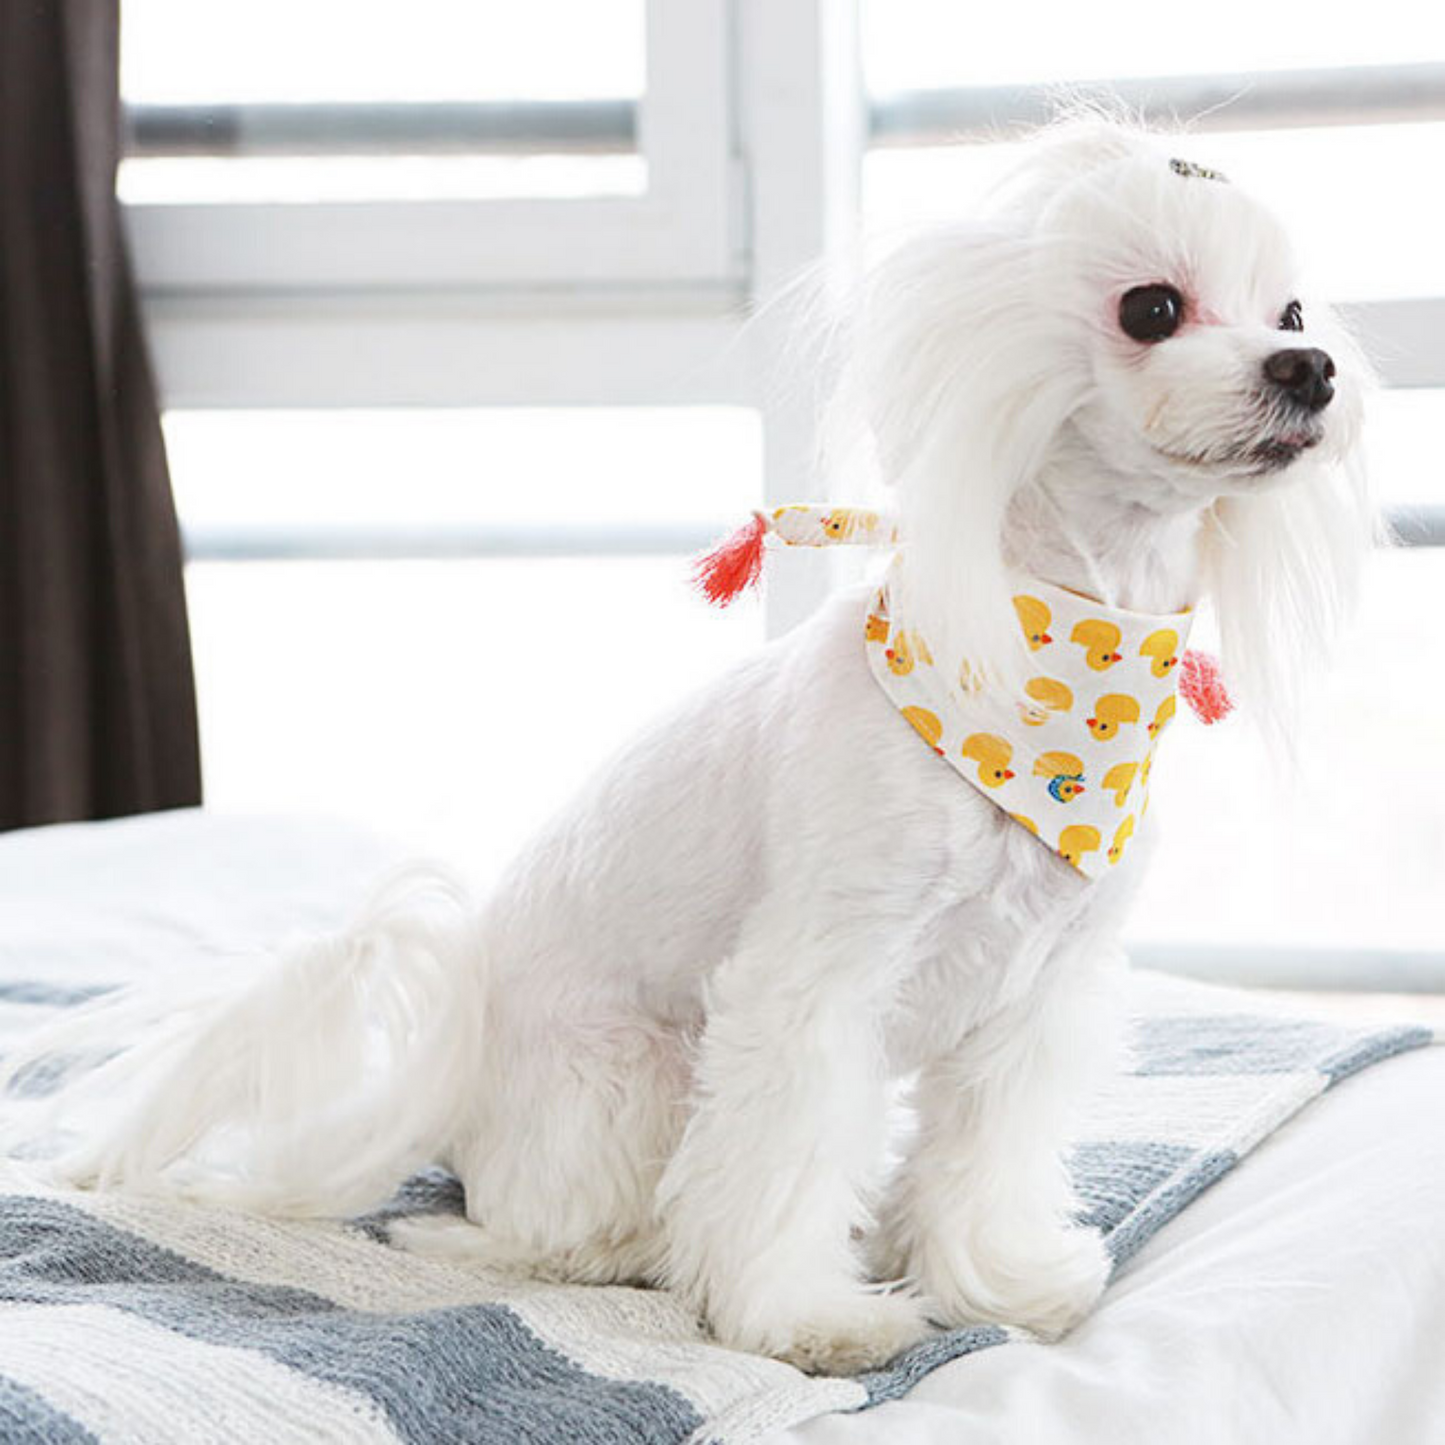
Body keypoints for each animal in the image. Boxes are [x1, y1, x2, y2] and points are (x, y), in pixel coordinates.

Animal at [2, 118, 1375, 1369]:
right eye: (1151, 307)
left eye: (1290, 307)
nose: (1308, 366)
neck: (1054, 678)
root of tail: (450, 1074)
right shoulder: (812, 987)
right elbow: (781, 1157)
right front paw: (805, 1317)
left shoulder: (1035, 995)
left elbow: (982, 1159)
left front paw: (994, 1280)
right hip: (635, 1074)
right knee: (542, 1227)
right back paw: (599, 1243)